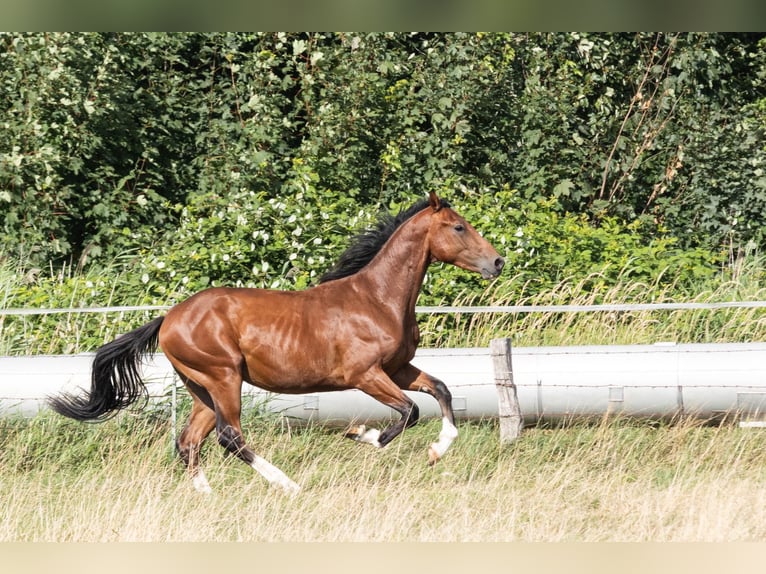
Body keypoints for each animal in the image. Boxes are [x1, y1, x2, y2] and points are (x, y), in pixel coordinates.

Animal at [48, 191, 504, 494]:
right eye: (459, 226)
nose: (497, 262)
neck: (377, 299)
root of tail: (168, 319)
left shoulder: (398, 369)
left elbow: (441, 391)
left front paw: (437, 450)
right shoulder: (364, 374)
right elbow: (409, 412)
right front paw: (362, 434)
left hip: (201, 390)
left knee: (189, 442)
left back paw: (208, 497)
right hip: (224, 379)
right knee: (229, 438)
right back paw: (288, 485)